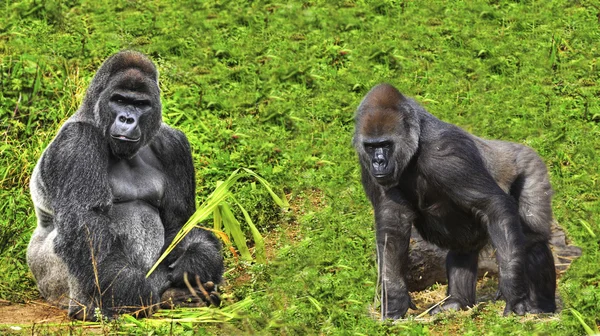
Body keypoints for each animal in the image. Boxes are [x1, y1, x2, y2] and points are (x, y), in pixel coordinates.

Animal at [27, 50, 224, 320]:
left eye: (141, 104)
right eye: (119, 100)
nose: (127, 118)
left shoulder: (173, 144)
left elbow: (180, 221)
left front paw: (196, 262)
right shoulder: (76, 143)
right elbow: (87, 225)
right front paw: (137, 294)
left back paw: (182, 296)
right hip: (48, 281)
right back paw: (91, 309)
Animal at [354, 84, 556, 320]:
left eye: (385, 145)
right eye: (371, 147)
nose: (378, 162)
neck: (415, 142)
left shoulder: (448, 152)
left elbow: (492, 205)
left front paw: (513, 291)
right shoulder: (366, 165)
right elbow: (392, 229)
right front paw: (395, 299)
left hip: (531, 165)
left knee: (532, 239)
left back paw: (542, 306)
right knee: (463, 247)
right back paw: (458, 302)